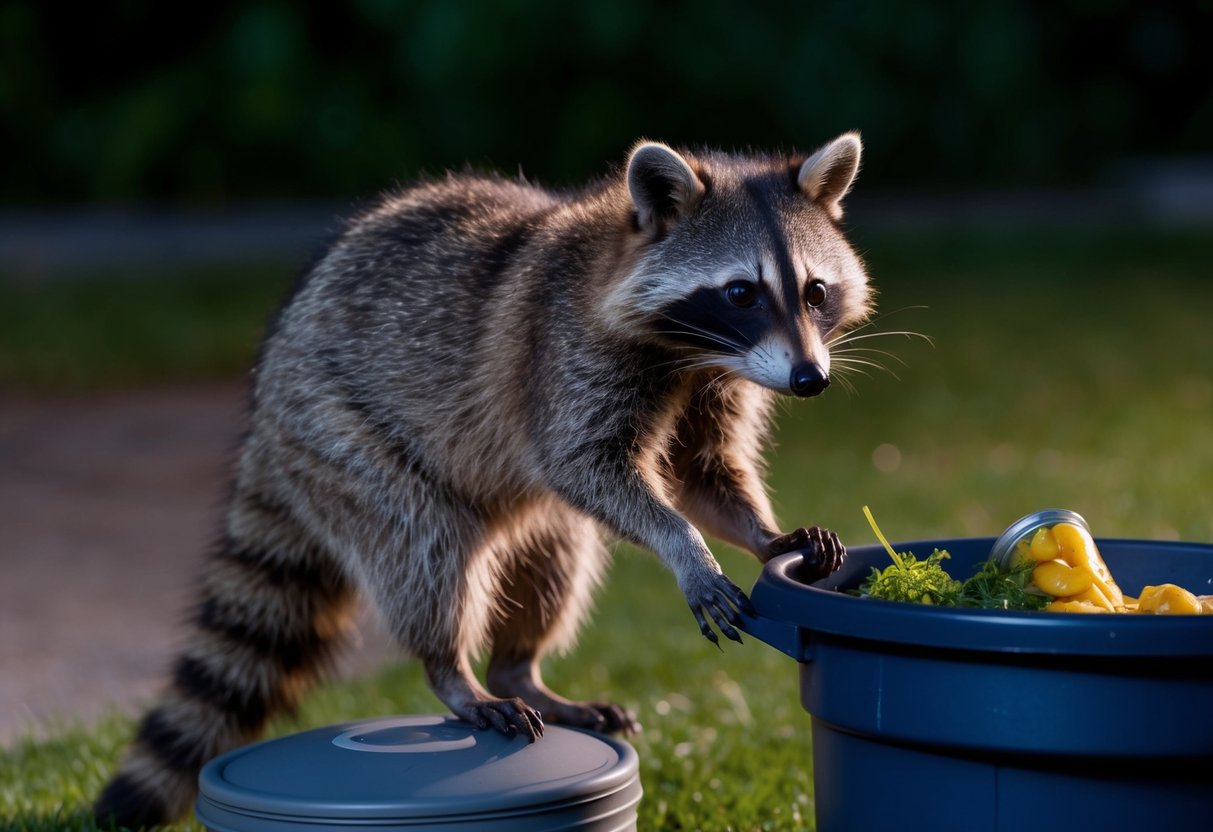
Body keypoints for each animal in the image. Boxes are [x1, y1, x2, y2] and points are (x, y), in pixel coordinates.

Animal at [95, 133, 871, 827]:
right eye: (741, 292)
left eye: (815, 290)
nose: (811, 380)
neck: (689, 349)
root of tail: (264, 409)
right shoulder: (565, 358)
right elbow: (585, 466)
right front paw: (686, 549)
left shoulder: (717, 379)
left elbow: (702, 472)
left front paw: (763, 534)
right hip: (332, 430)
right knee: (425, 548)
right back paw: (455, 672)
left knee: (557, 557)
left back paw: (517, 668)